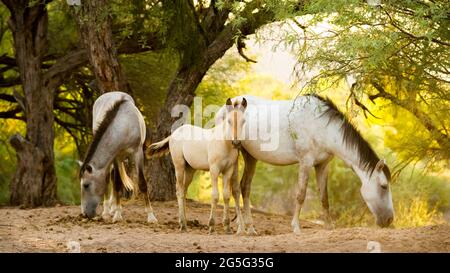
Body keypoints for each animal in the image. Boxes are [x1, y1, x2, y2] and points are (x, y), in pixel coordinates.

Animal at [80, 91, 157, 223]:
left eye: (86, 185)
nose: (84, 214)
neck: (124, 126)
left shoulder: (138, 153)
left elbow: (142, 183)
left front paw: (151, 216)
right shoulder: (115, 157)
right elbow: (116, 184)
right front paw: (117, 215)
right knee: (109, 178)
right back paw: (107, 211)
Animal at [147, 96, 246, 233]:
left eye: (244, 121)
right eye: (229, 121)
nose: (236, 142)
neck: (224, 143)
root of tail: (174, 133)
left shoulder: (228, 170)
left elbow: (226, 195)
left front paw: (227, 227)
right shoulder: (214, 169)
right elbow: (215, 195)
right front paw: (211, 226)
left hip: (190, 170)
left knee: (184, 191)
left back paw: (185, 223)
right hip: (179, 166)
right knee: (179, 191)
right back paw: (182, 224)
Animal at [216, 94, 392, 233]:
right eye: (383, 186)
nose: (389, 220)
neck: (321, 126)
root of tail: (226, 106)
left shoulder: (322, 165)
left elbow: (324, 197)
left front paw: (329, 226)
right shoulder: (305, 162)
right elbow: (300, 195)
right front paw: (296, 227)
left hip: (250, 157)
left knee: (244, 187)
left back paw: (249, 227)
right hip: (235, 154)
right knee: (235, 189)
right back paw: (240, 227)